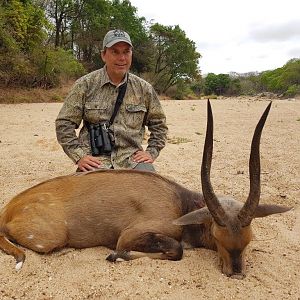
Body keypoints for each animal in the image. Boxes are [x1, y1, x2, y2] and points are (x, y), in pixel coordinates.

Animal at [0, 101, 290, 278]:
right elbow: (176, 250)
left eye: (249, 240)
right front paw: (116, 257)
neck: (181, 203)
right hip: (52, 237)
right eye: (218, 238)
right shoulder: (129, 236)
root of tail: (9, 209)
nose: (236, 273)